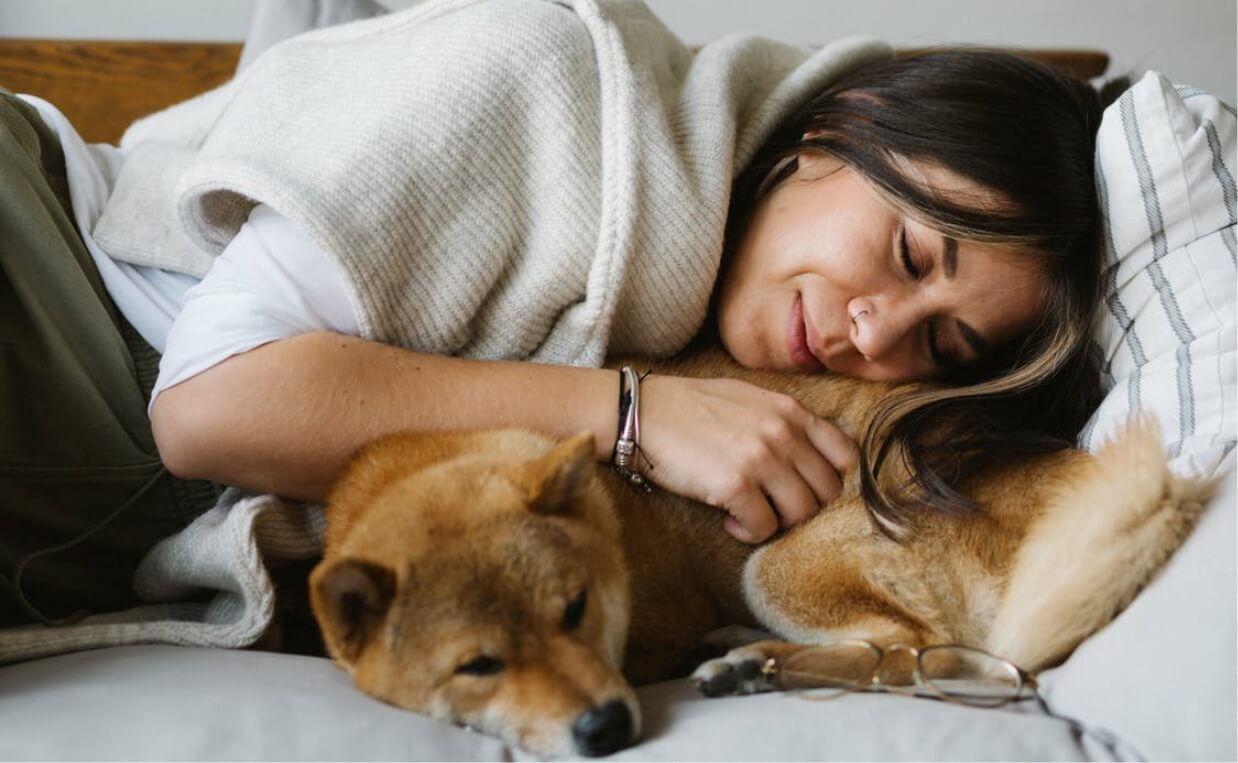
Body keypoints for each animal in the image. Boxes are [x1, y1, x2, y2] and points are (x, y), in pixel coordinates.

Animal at [307, 346, 1208, 758]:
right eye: (478, 665)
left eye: (575, 610)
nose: (605, 727)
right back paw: (749, 660)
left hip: (775, 566)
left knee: (913, 653)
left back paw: (754, 662)